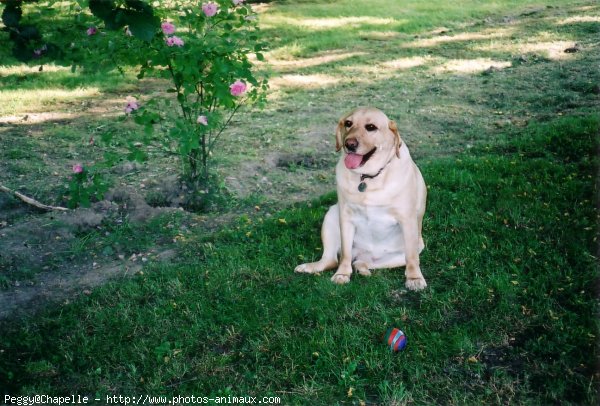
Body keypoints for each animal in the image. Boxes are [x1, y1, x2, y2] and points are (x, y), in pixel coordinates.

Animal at [294, 106, 426, 290]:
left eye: (371, 127)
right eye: (348, 123)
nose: (349, 144)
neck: (368, 177)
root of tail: (366, 255)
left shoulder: (407, 219)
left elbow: (412, 258)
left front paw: (414, 278)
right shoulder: (345, 216)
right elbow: (345, 255)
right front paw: (342, 274)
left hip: (407, 251)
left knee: (385, 260)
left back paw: (363, 268)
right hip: (332, 214)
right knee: (333, 260)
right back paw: (314, 267)